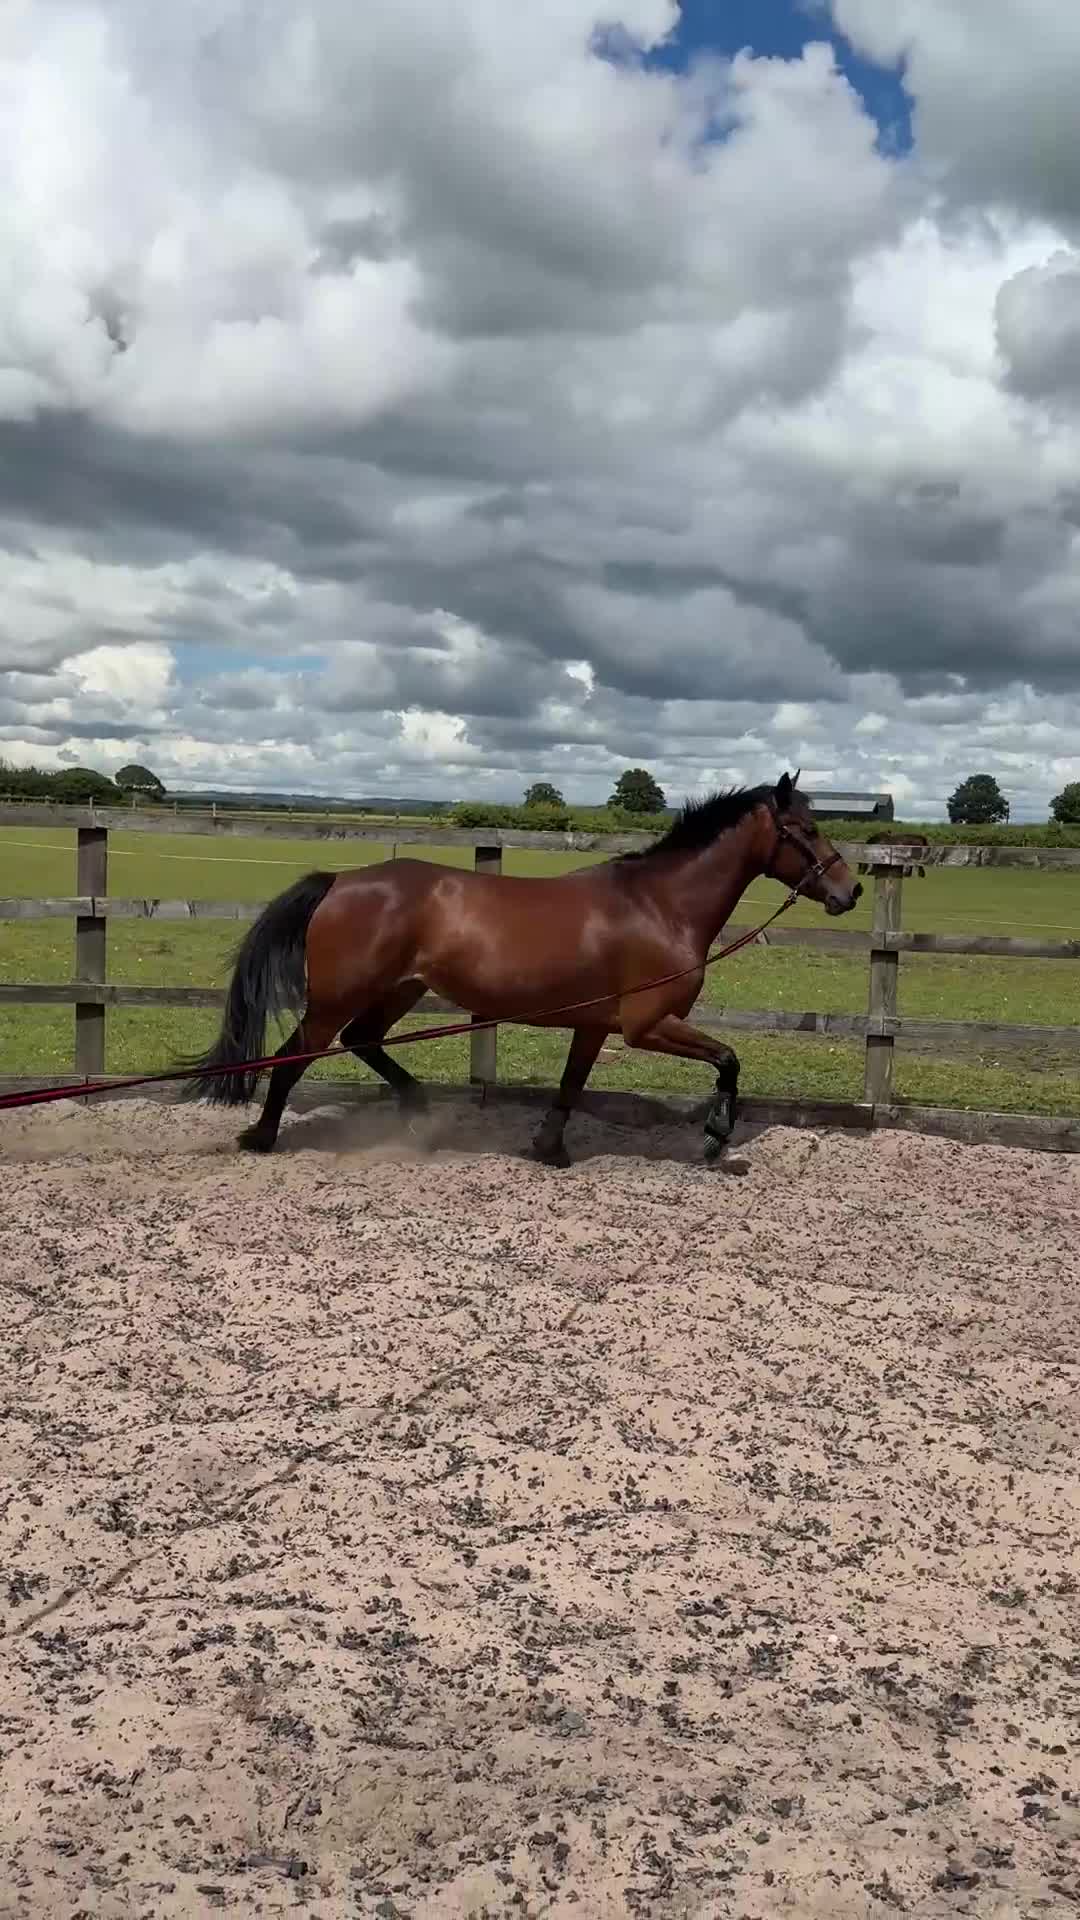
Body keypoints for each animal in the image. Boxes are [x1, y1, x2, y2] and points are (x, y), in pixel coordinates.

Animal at [183, 771, 861, 1164]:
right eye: (805, 827)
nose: (849, 892)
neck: (659, 906)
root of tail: (339, 882)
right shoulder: (647, 1024)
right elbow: (728, 1059)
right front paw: (718, 1134)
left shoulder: (595, 1025)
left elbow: (571, 1086)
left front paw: (548, 1149)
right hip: (336, 998)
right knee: (294, 1057)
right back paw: (262, 1137)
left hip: (399, 991)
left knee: (363, 1041)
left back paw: (418, 1111)